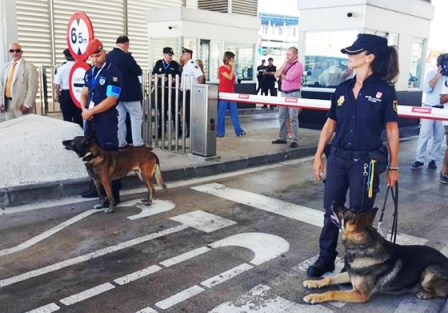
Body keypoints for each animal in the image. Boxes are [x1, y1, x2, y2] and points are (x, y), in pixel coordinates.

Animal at [300, 206, 448, 304]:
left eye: (344, 211)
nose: (333, 202)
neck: (363, 246)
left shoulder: (360, 294)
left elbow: (333, 292)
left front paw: (314, 297)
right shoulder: (350, 274)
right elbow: (330, 278)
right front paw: (313, 282)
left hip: (429, 273)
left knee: (443, 293)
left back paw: (426, 294)